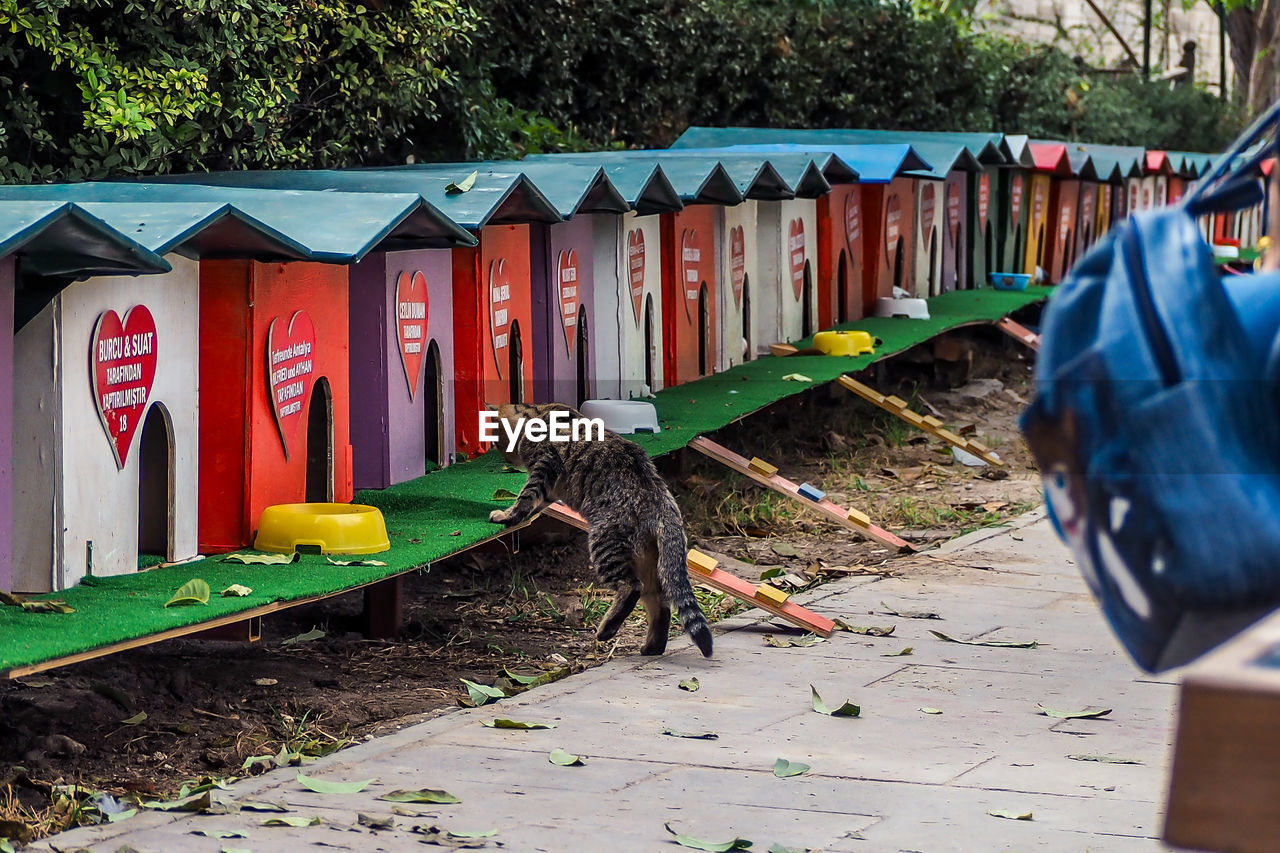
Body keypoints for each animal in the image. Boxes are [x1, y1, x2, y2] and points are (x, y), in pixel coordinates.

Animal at [483, 402, 716, 653]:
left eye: (497, 441)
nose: (506, 458)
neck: (535, 413)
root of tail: (661, 502)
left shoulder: (545, 465)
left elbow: (526, 497)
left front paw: (507, 515)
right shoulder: (551, 490)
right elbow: (537, 504)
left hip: (604, 544)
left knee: (632, 586)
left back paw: (606, 630)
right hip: (648, 560)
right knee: (660, 601)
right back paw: (651, 647)